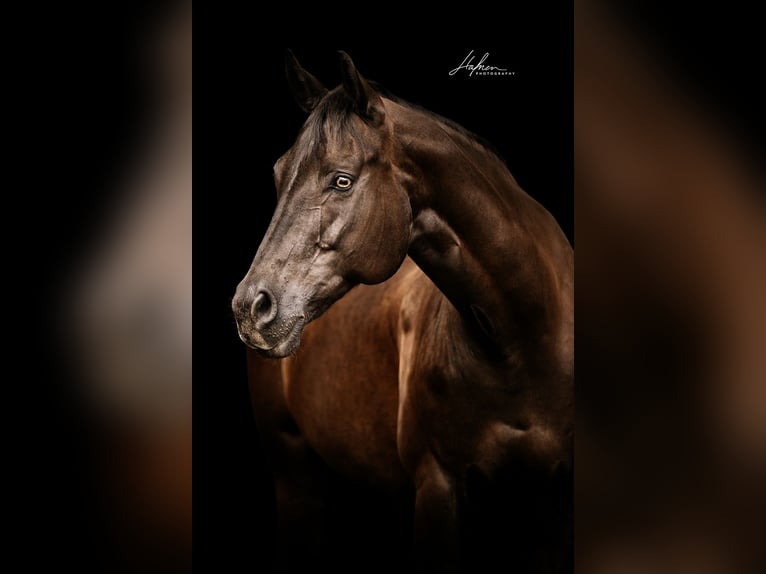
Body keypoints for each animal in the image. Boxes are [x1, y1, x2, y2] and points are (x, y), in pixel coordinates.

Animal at [232, 51, 573, 573]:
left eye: (342, 180)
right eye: (277, 174)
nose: (251, 307)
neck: (523, 339)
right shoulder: (437, 487)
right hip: (295, 478)